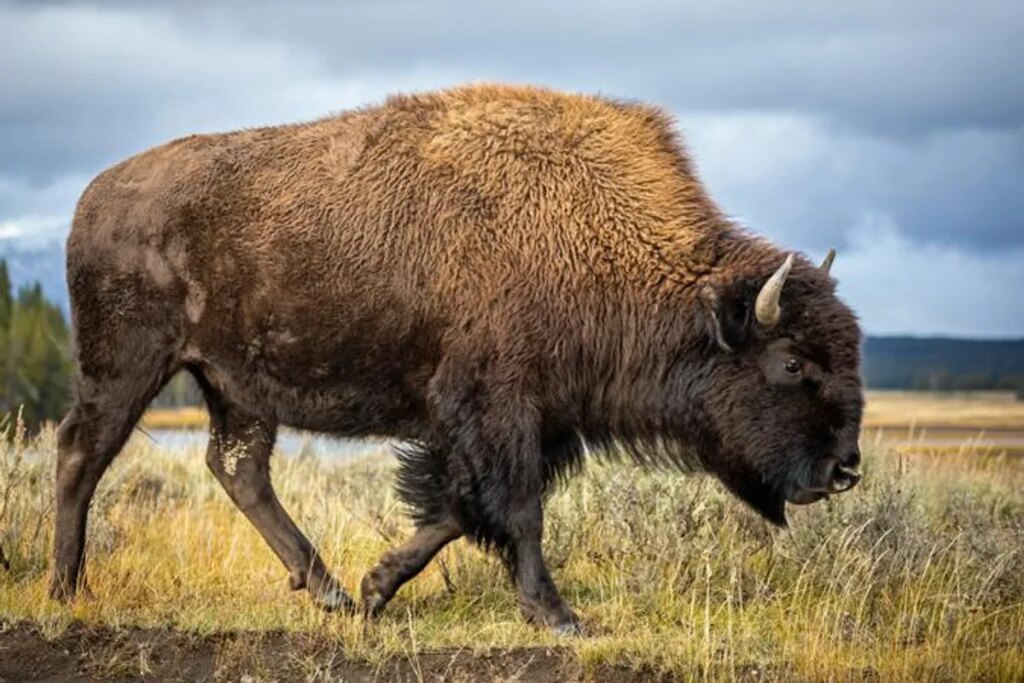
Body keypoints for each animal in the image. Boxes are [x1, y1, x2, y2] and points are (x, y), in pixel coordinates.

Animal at [51, 84, 863, 634]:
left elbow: (459, 507)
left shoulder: (531, 420)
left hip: (233, 386)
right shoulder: (497, 407)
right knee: (81, 454)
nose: (844, 469)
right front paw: (557, 615)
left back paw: (329, 591)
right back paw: (67, 587)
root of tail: (94, 196)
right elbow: (515, 510)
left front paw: (376, 588)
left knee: (238, 468)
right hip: (126, 365)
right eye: (792, 364)